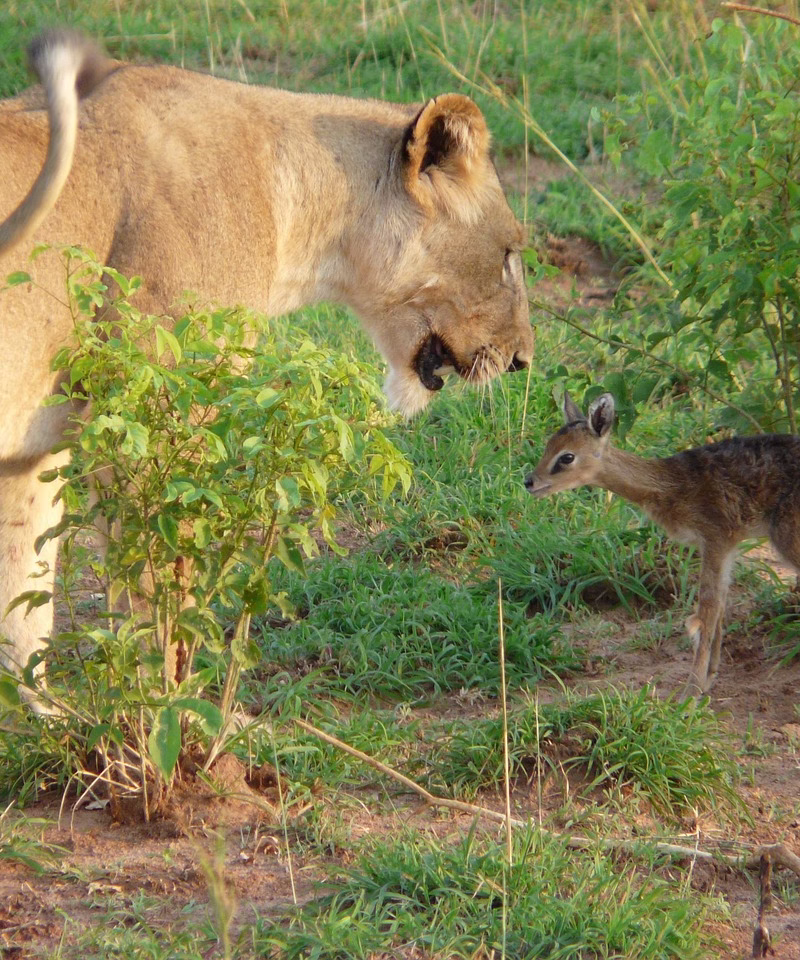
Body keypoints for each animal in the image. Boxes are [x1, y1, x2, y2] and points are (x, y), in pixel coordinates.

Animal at [0, 30, 533, 707]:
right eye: (509, 253)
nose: (522, 360)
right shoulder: (149, 421)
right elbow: (160, 604)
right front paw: (165, 713)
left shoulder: (28, 452)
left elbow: (23, 613)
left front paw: (50, 725)